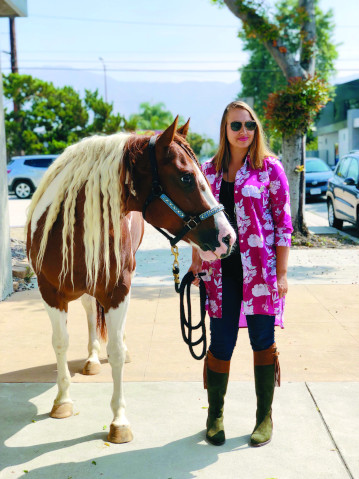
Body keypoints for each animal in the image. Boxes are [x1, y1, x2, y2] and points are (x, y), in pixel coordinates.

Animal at [27, 118, 236, 444]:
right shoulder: (50, 292)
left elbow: (114, 351)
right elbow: (60, 342)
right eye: (186, 177)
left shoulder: (118, 291)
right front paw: (63, 401)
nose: (228, 237)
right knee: (90, 312)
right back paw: (91, 359)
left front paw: (119, 421)